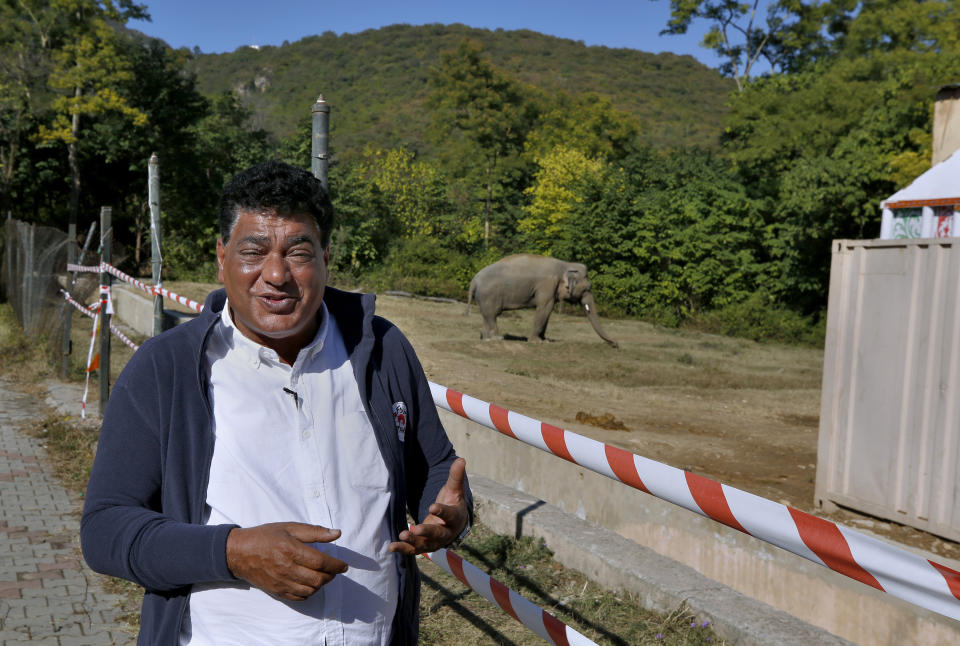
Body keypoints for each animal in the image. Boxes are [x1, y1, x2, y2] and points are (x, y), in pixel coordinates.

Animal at [466, 256, 624, 350]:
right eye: (587, 289)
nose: (616, 344)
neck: (565, 265)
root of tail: (473, 281)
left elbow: (547, 312)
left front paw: (545, 340)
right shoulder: (547, 285)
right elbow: (545, 308)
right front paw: (537, 342)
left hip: (484, 298)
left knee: (488, 316)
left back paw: (485, 338)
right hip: (488, 296)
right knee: (492, 315)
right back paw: (497, 339)